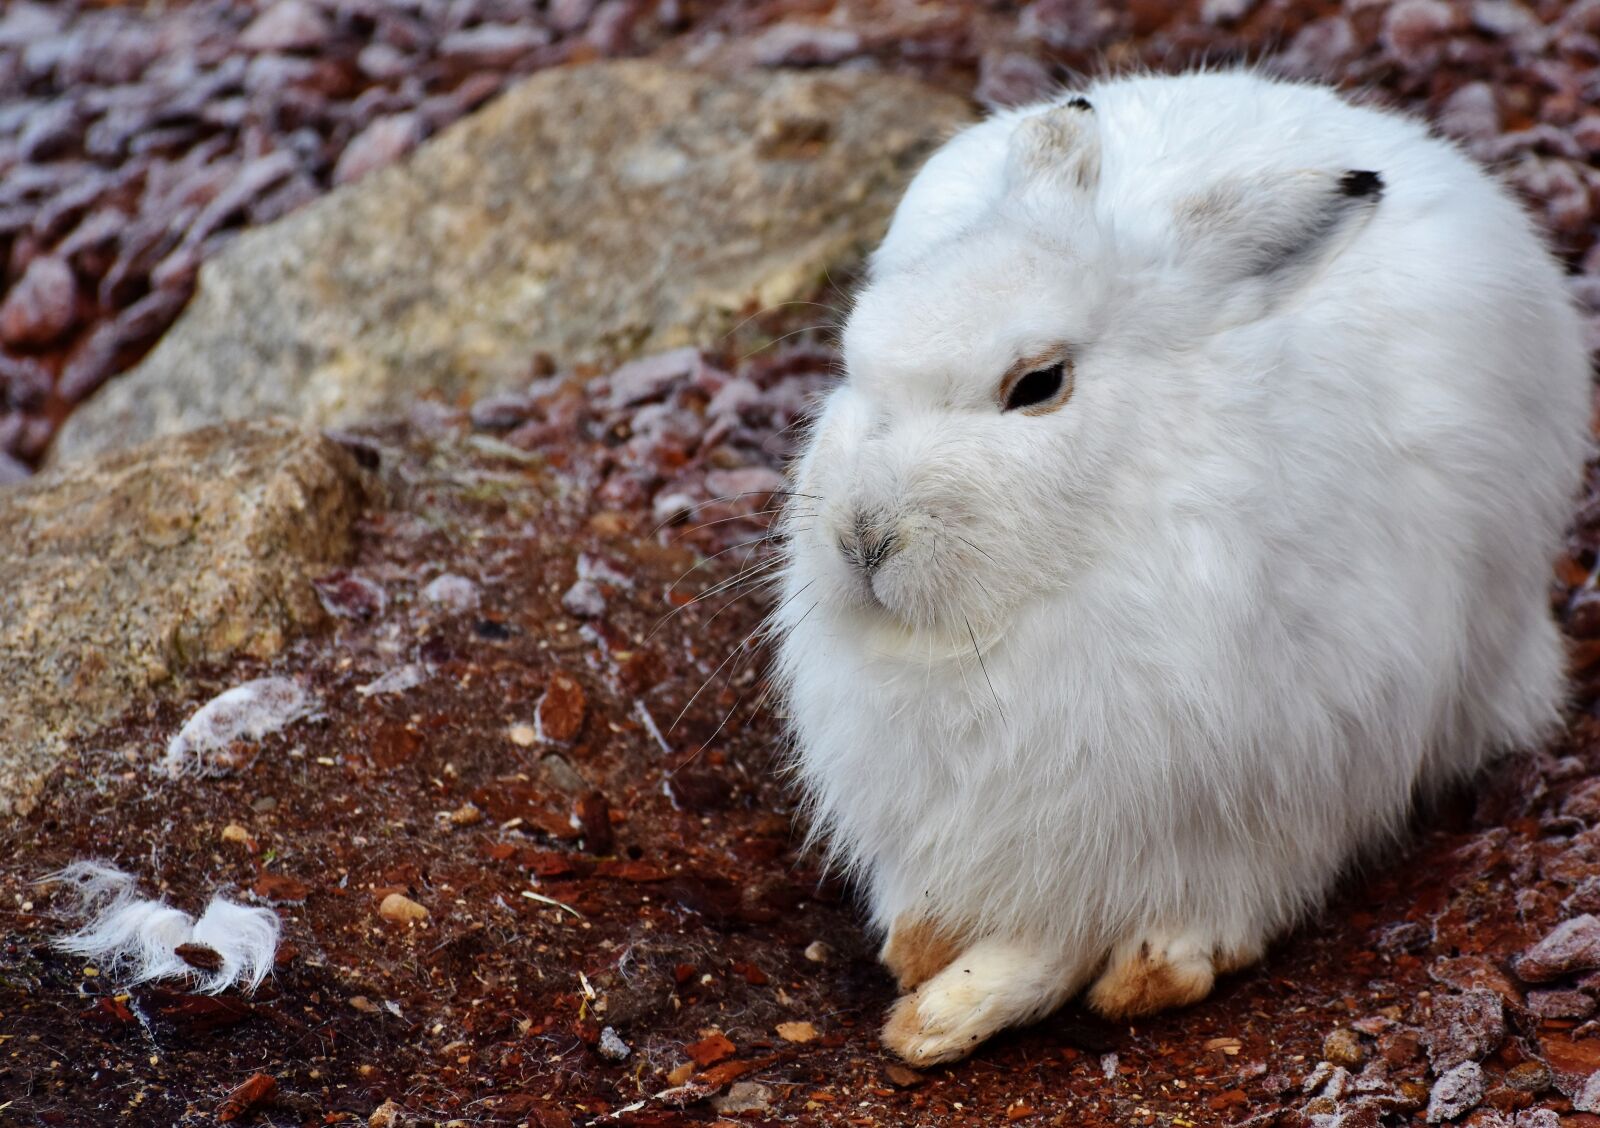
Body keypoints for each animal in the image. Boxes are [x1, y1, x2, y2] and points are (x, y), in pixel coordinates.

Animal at [769, 69, 1591, 1067]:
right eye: (854, 363)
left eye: (1038, 384)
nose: (862, 537)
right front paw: (930, 979)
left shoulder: (1267, 792)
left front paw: (1069, 988)